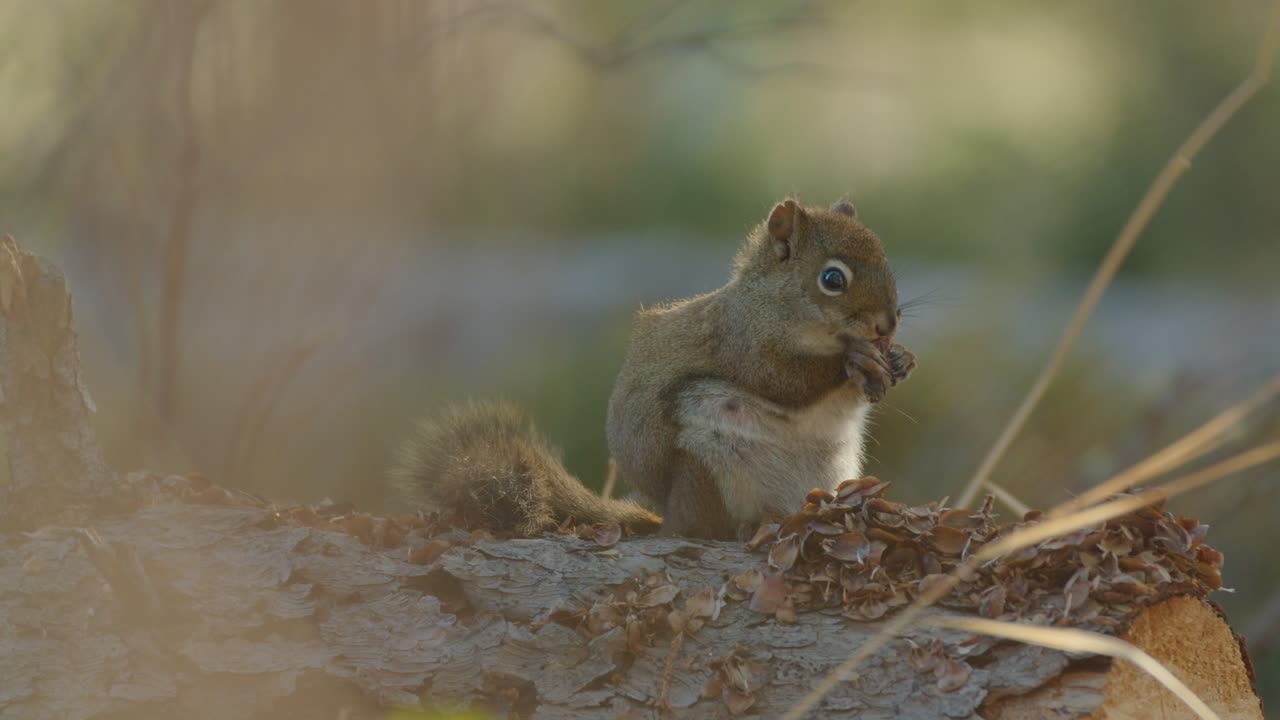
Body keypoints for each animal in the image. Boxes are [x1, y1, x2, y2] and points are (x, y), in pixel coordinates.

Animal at [391, 196, 915, 541]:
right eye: (832, 279)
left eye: (885, 255)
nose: (887, 324)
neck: (780, 307)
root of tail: (669, 513)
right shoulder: (740, 340)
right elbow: (781, 381)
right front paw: (849, 362)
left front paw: (900, 359)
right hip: (705, 461)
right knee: (702, 525)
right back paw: (738, 527)